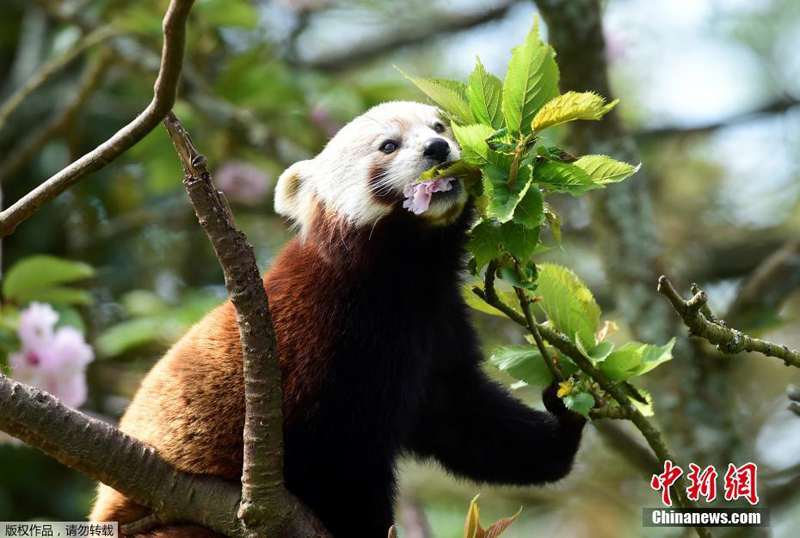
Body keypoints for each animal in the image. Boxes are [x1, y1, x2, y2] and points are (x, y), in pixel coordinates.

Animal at [90, 101, 584, 536]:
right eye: (389, 145)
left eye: (440, 126)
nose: (438, 149)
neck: (405, 274)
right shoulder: (322, 343)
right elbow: (343, 464)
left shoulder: (437, 326)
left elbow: (464, 418)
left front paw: (564, 422)